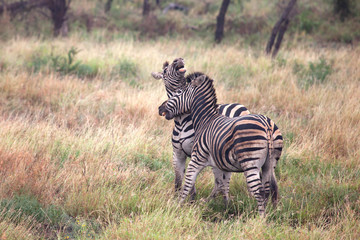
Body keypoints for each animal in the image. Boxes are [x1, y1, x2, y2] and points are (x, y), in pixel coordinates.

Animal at [150, 58, 249, 201]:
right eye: (165, 70)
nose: (178, 59)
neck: (180, 121)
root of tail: (241, 106)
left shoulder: (195, 152)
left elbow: (191, 179)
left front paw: (191, 199)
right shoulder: (177, 153)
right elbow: (178, 179)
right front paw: (175, 198)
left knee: (224, 179)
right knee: (220, 180)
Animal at [159, 74, 282, 217]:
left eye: (179, 92)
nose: (160, 109)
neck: (205, 120)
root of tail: (267, 125)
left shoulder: (197, 158)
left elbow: (188, 182)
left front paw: (178, 206)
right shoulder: (220, 162)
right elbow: (222, 184)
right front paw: (225, 207)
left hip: (250, 162)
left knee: (259, 191)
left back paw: (260, 218)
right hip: (270, 163)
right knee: (268, 188)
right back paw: (270, 213)